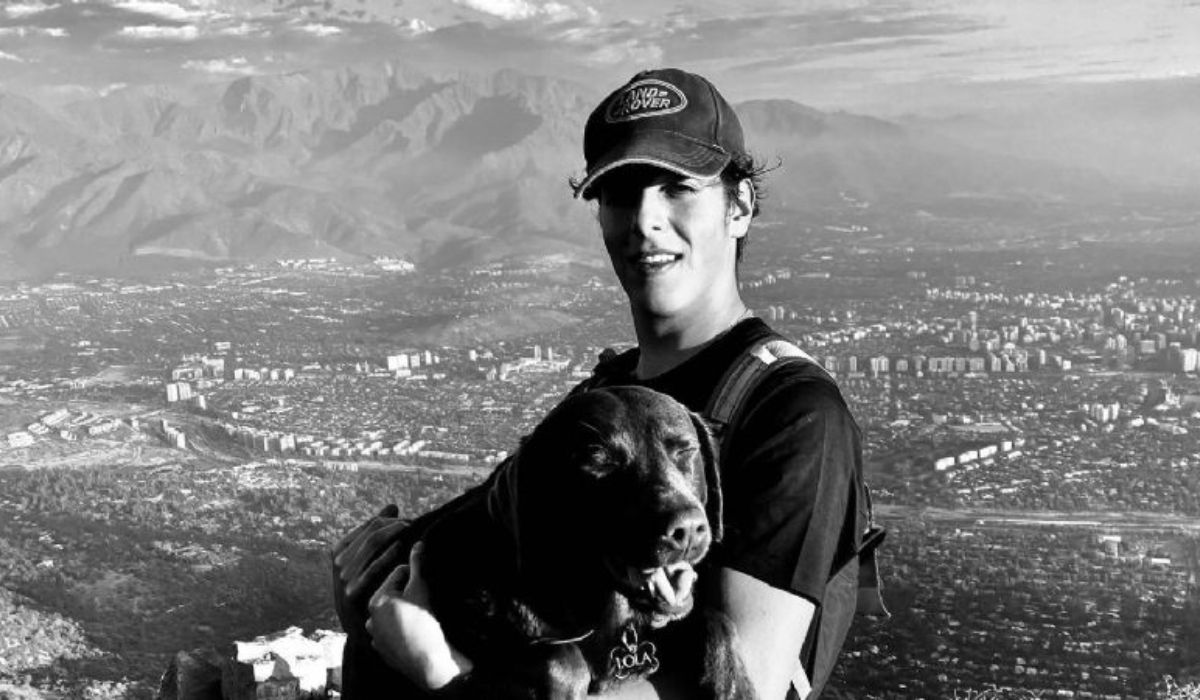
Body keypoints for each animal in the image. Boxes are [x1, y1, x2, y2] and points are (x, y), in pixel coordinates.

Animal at [343, 385, 754, 699]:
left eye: (685, 451)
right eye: (598, 460)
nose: (687, 530)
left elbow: (715, 619)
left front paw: (733, 683)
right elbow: (561, 660)